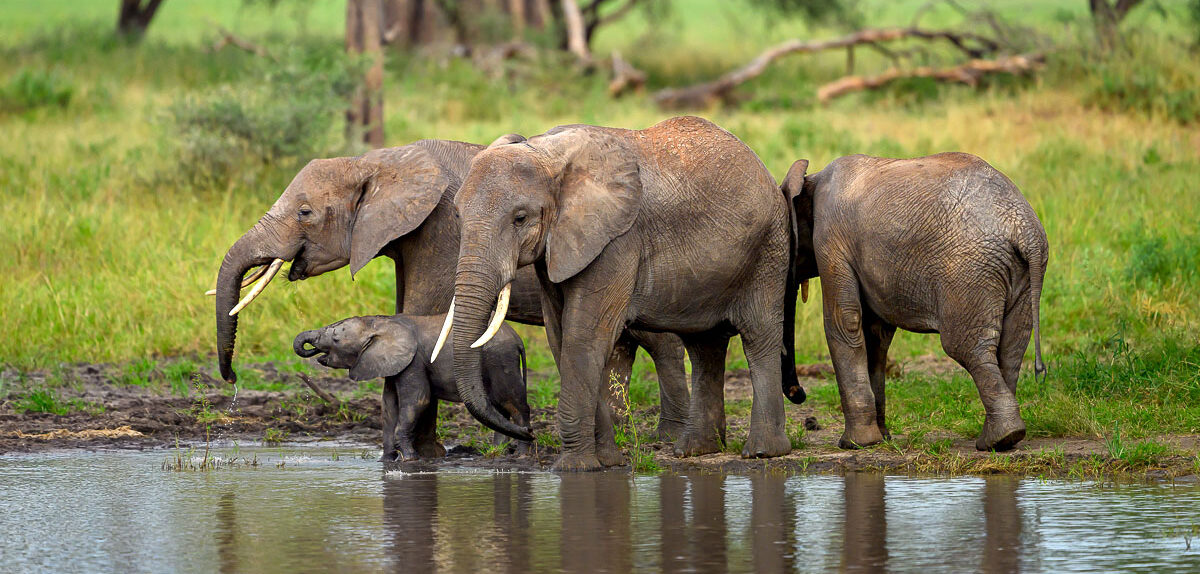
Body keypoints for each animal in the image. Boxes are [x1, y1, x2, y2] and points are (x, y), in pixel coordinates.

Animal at [211, 136, 691, 441]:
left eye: (305, 212)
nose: (231, 379)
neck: (380, 161)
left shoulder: (440, 234)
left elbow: (419, 311)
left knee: (656, 340)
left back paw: (667, 438)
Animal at [291, 314, 530, 461]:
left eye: (336, 339)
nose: (311, 349)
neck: (378, 322)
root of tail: (519, 339)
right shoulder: (393, 363)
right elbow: (388, 406)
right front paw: (386, 460)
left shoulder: (414, 361)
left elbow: (418, 399)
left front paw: (409, 459)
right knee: (499, 408)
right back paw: (498, 452)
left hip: (501, 360)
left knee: (514, 404)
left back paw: (521, 452)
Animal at [436, 116, 811, 470]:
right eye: (457, 213)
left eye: (519, 218)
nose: (527, 433)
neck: (546, 154)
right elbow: (561, 336)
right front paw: (608, 463)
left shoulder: (616, 242)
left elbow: (585, 335)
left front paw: (575, 468)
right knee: (705, 346)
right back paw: (695, 450)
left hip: (767, 251)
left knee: (758, 338)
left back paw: (762, 452)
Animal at [782, 152, 1046, 453]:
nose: (799, 394)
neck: (811, 179)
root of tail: (1026, 230)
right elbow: (876, 335)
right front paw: (881, 438)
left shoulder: (831, 239)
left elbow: (844, 322)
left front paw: (855, 444)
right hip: (1020, 276)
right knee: (1011, 348)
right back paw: (1002, 439)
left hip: (969, 272)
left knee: (966, 347)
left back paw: (997, 440)